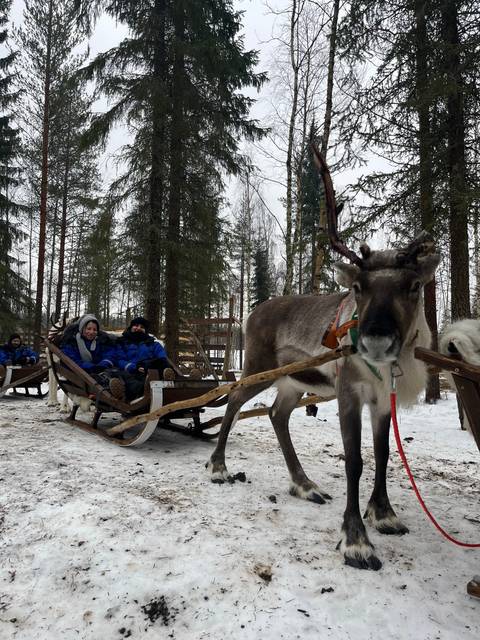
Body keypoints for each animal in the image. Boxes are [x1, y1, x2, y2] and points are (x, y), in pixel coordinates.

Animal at [207, 146, 440, 570]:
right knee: (233, 399)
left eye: (414, 285)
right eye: (358, 287)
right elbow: (355, 461)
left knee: (276, 414)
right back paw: (218, 466)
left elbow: (383, 454)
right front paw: (356, 540)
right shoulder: (349, 392)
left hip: (293, 382)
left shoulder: (383, 401)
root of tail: (252, 312)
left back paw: (304, 484)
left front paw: (384, 514)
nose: (376, 340)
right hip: (260, 368)